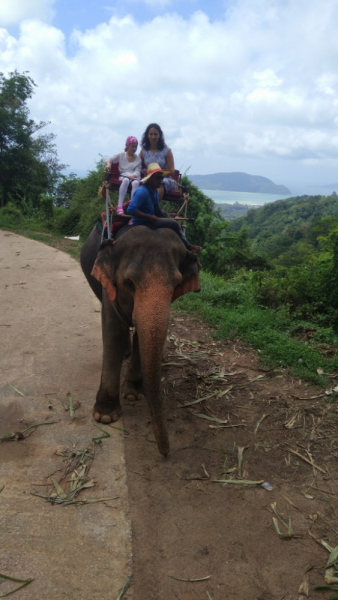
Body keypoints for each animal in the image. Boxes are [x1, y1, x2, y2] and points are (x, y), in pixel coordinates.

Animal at [80, 225, 201, 454]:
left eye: (176, 284)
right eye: (129, 283)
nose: (166, 453)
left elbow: (141, 333)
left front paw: (134, 394)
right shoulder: (110, 286)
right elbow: (113, 330)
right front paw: (105, 416)